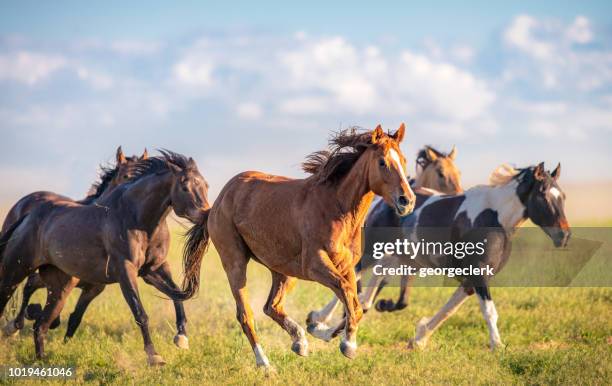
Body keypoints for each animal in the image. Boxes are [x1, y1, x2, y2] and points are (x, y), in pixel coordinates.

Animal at [184, 123, 416, 368]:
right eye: (382, 162)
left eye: (403, 160)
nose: (407, 201)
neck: (337, 209)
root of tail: (218, 202)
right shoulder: (315, 265)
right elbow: (347, 294)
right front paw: (347, 345)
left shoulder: (347, 267)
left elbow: (355, 303)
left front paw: (322, 330)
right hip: (235, 263)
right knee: (246, 314)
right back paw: (265, 364)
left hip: (284, 271)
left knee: (272, 306)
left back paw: (300, 342)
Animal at [306, 145, 464, 328]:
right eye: (441, 173)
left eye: (458, 172)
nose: (459, 195)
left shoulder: (406, 265)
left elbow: (400, 299)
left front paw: (382, 304)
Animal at [308, 163, 572, 350]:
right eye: (544, 195)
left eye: (563, 196)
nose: (564, 236)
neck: (495, 218)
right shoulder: (478, 275)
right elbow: (489, 311)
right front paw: (498, 345)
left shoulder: (471, 280)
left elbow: (448, 311)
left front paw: (419, 338)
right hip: (373, 251)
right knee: (350, 279)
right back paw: (317, 322)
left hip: (401, 259)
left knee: (365, 295)